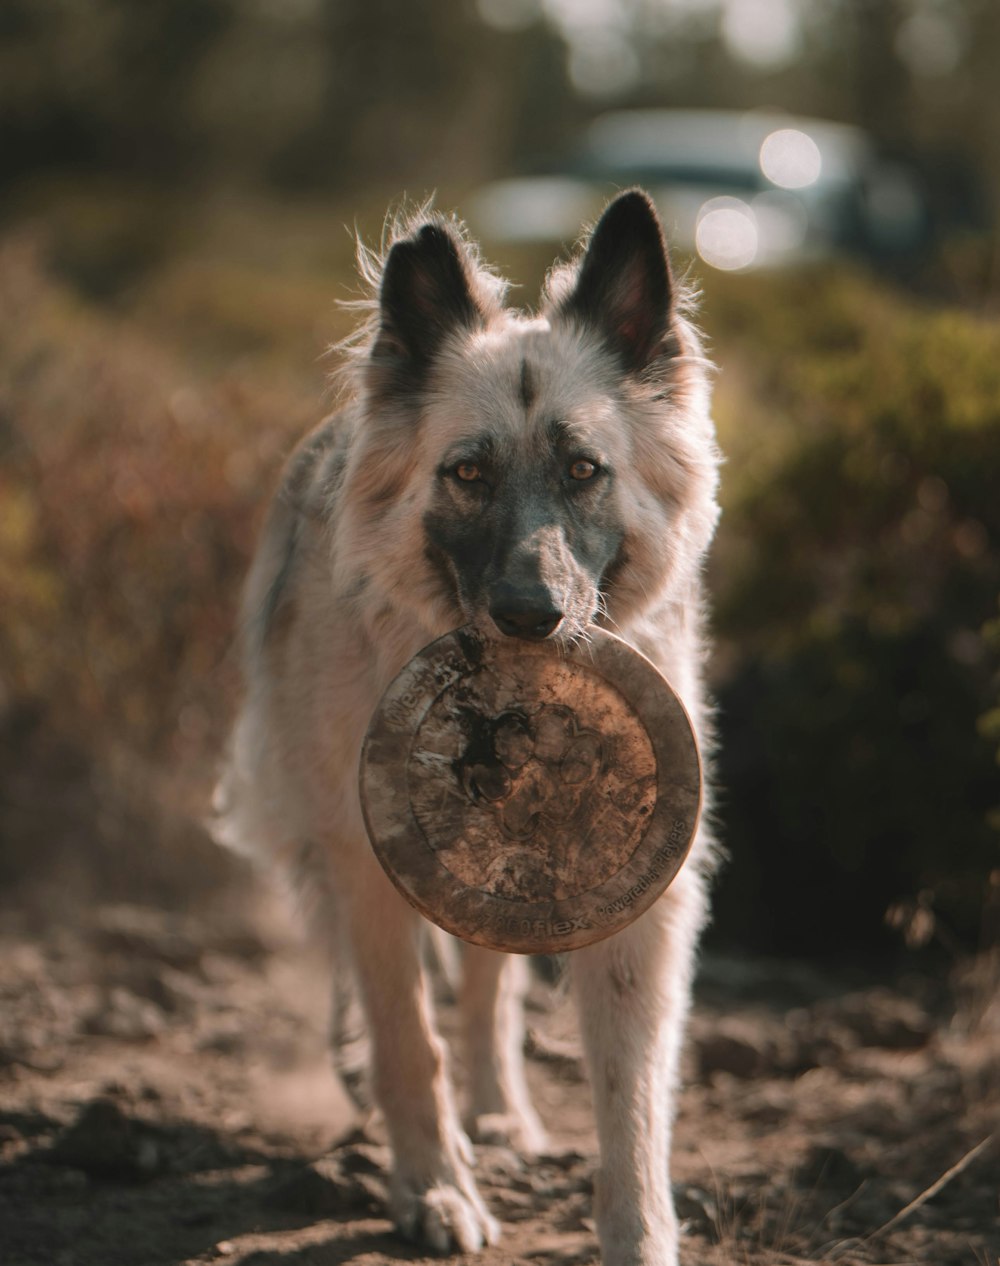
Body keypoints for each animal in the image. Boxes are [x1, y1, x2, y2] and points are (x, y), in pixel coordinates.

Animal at [215, 189, 724, 1266]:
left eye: (583, 469)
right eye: (468, 474)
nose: (531, 614)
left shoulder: (644, 900)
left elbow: (630, 1088)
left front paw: (637, 1228)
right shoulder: (364, 860)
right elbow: (409, 1035)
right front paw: (433, 1188)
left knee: (490, 989)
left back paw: (498, 1112)